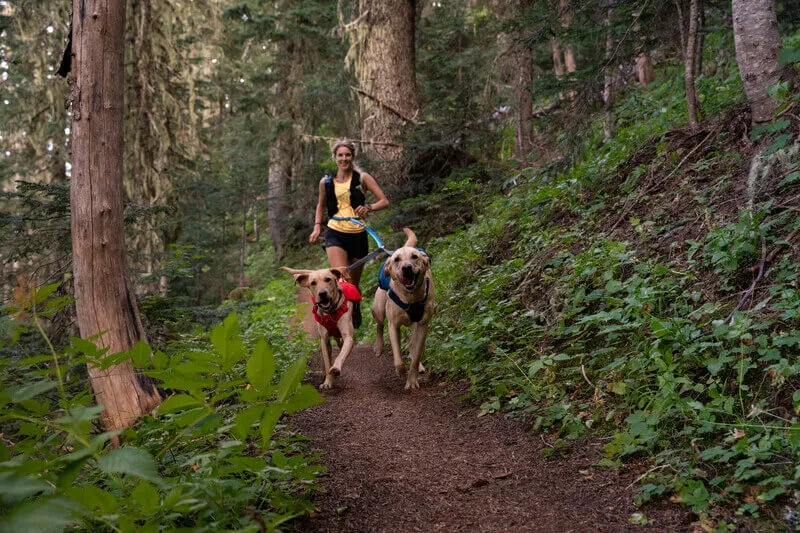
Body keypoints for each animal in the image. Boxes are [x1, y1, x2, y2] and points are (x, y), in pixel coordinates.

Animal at [372, 227, 434, 388]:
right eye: (397, 260)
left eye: (414, 257)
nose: (406, 268)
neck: (410, 296)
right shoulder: (393, 325)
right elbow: (398, 358)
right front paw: (401, 371)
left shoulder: (423, 324)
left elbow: (416, 355)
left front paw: (412, 380)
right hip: (378, 310)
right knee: (379, 325)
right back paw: (378, 347)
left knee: (412, 344)